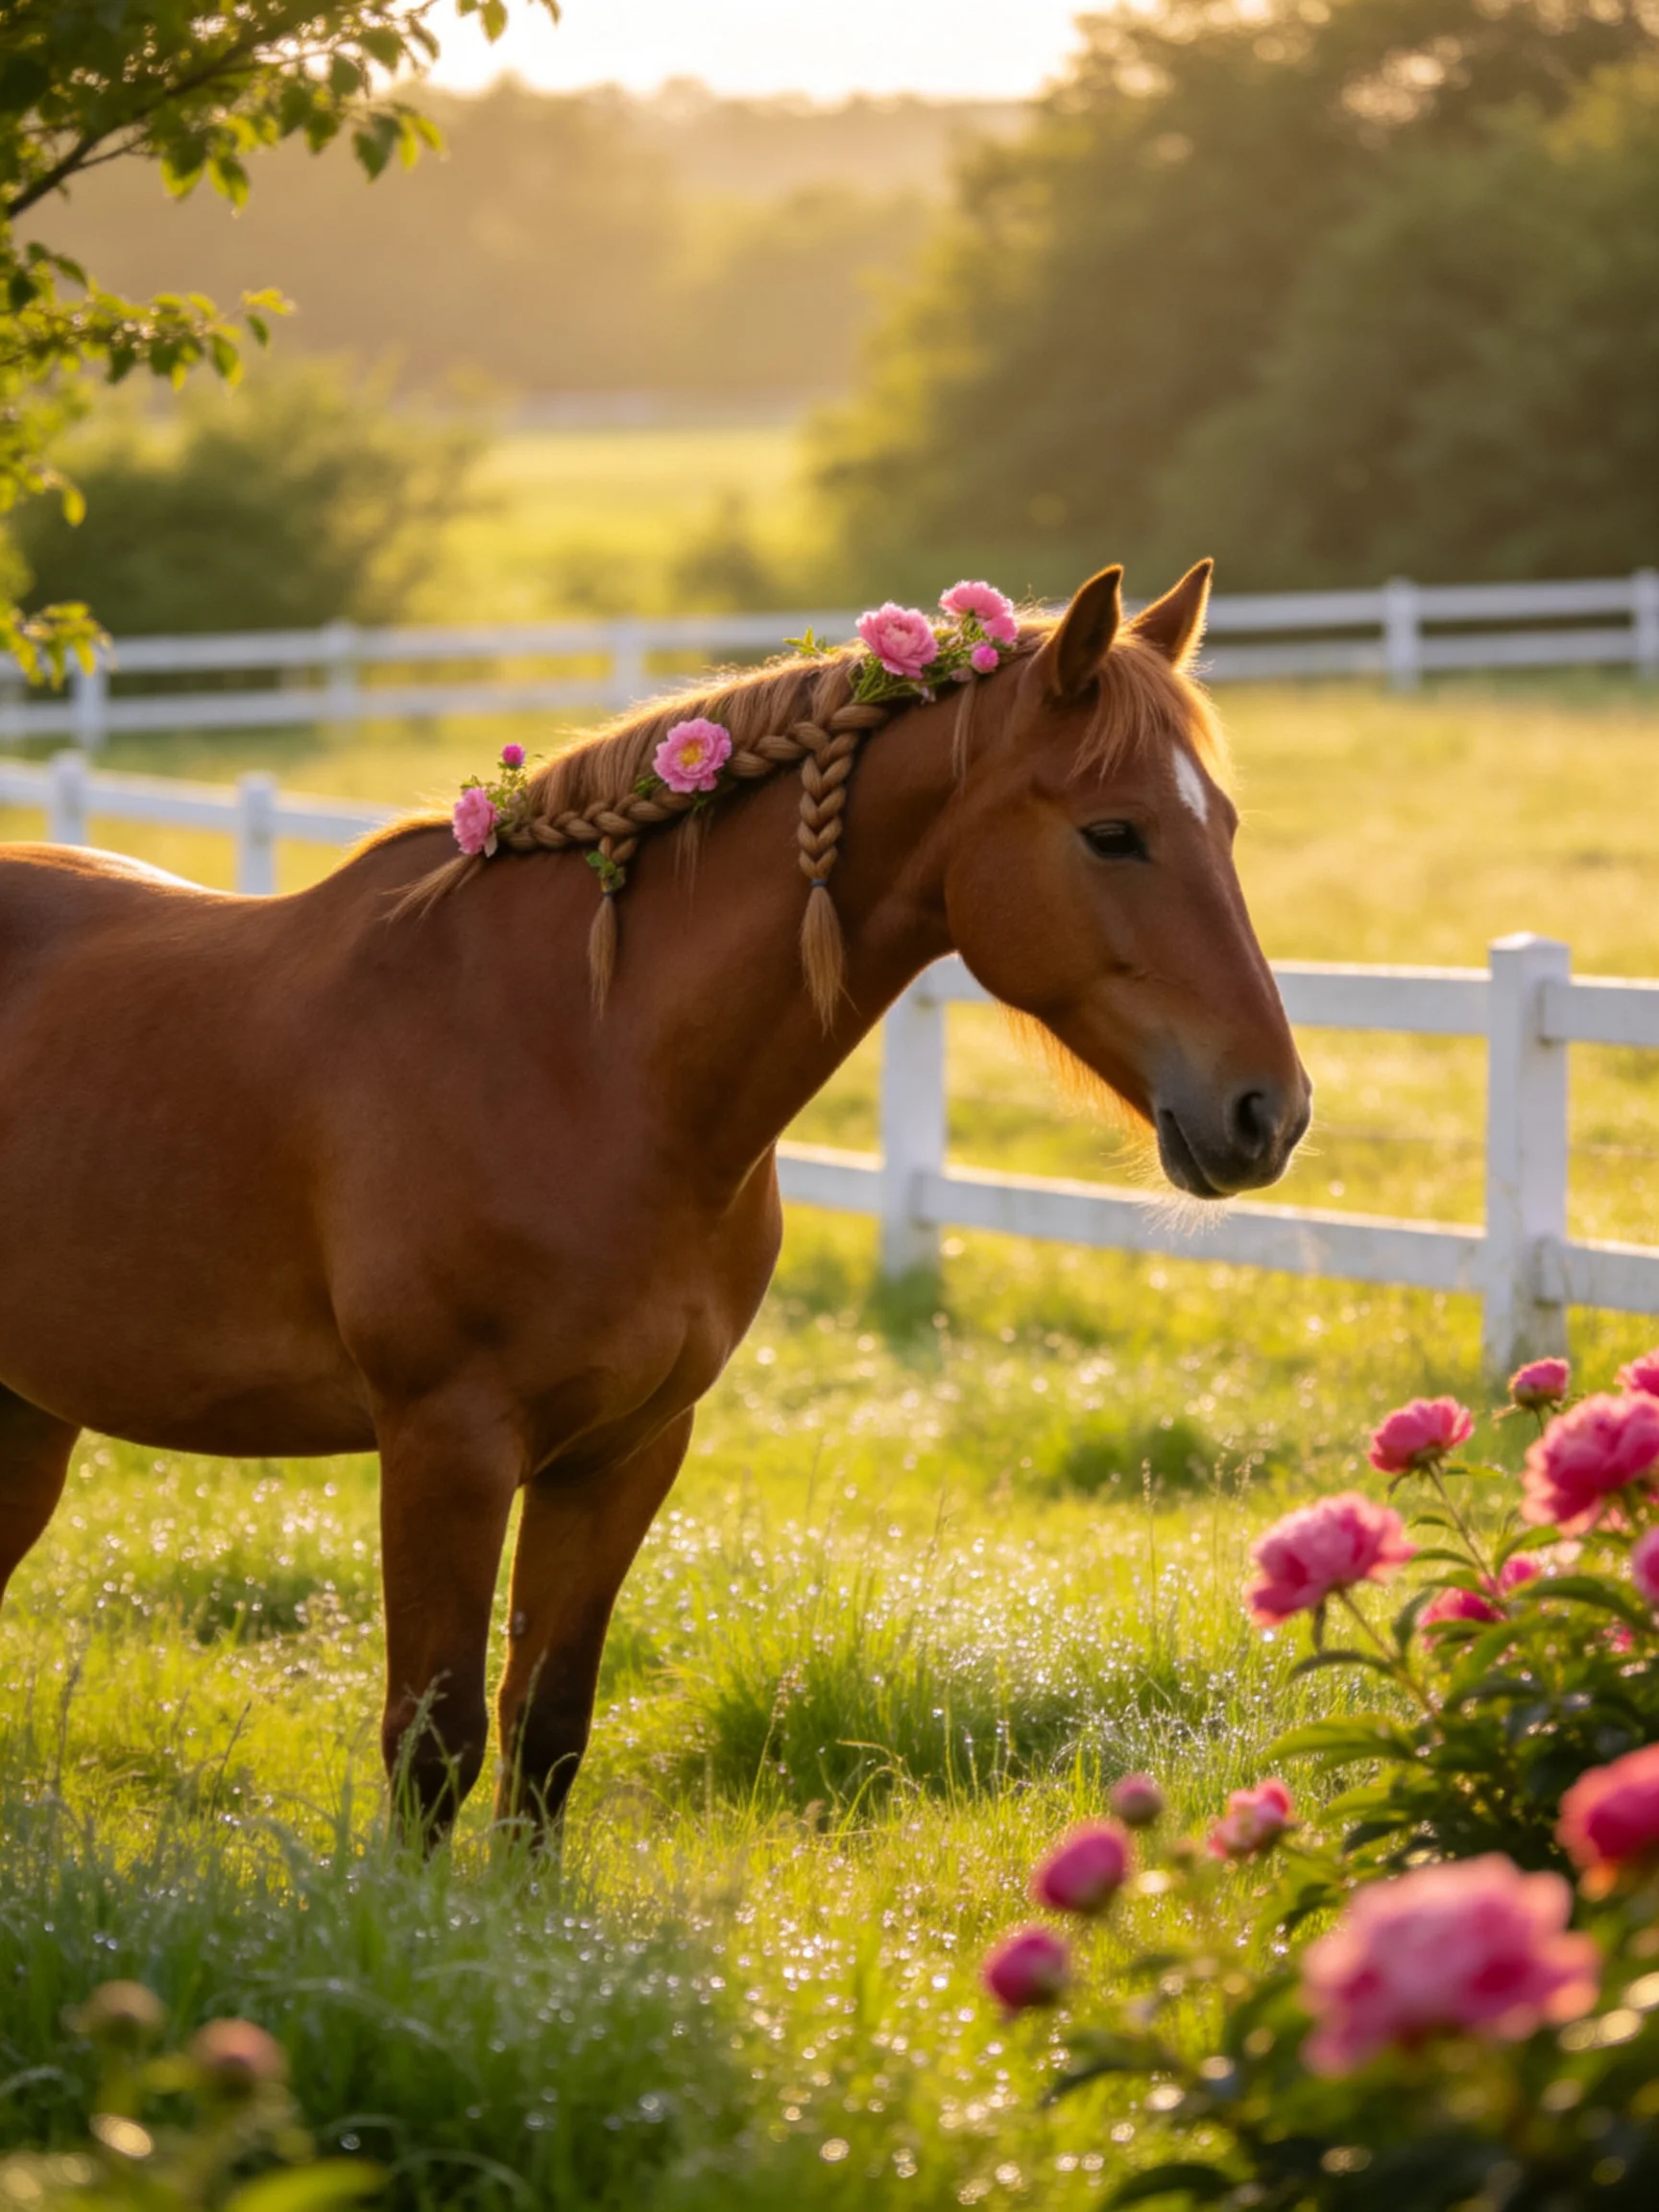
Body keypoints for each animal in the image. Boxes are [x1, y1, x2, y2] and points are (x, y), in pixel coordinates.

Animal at [0, 561, 1310, 1838]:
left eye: (1227, 824)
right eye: (1114, 833)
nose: (1271, 1112)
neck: (582, 1059)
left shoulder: (623, 1453)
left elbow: (544, 1739)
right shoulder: (444, 1445)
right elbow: (434, 1747)